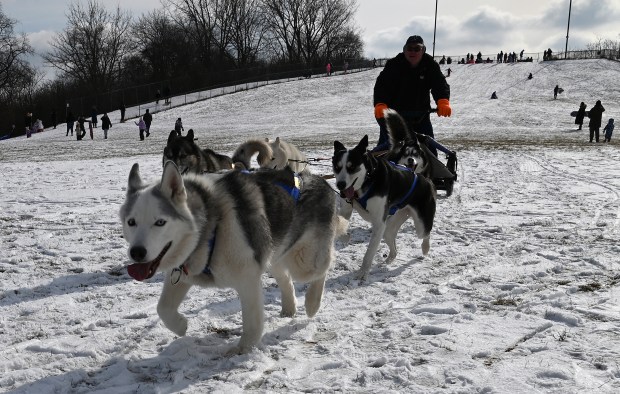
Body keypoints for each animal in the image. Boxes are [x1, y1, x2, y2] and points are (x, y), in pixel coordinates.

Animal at [120, 162, 340, 352]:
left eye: (160, 222)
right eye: (131, 222)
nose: (136, 252)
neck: (211, 228)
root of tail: (317, 178)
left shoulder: (248, 278)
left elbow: (252, 322)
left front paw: (244, 350)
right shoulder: (183, 273)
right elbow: (163, 308)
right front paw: (181, 326)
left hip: (303, 262)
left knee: (324, 267)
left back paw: (312, 303)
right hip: (274, 253)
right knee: (285, 278)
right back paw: (289, 308)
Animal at [334, 135, 436, 280]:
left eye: (352, 167)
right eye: (337, 167)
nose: (340, 185)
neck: (368, 179)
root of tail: (424, 179)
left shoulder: (379, 224)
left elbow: (369, 252)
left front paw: (362, 272)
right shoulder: (346, 210)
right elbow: (340, 226)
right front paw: (346, 237)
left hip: (421, 225)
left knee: (426, 234)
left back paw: (425, 248)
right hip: (390, 227)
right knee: (393, 244)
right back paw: (390, 259)